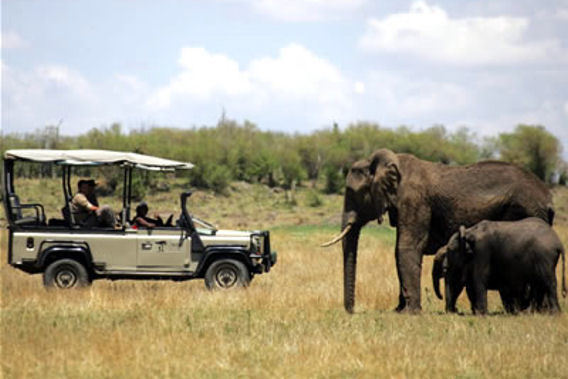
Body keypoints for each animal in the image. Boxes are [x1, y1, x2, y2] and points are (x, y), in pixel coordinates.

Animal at [434, 218, 564, 316]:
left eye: (450, 250)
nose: (455, 311)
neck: (470, 231)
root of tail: (558, 243)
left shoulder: (482, 251)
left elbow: (478, 279)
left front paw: (481, 314)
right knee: (540, 284)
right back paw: (536, 312)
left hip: (544, 257)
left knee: (548, 283)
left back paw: (553, 313)